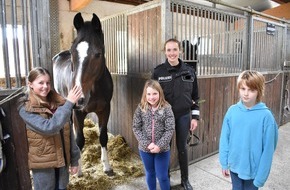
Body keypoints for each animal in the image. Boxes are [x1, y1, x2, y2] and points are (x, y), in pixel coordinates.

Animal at [52, 12, 114, 176]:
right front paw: (78, 170)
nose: (78, 99)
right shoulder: (78, 112)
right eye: (73, 52)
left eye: (98, 54)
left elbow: (103, 137)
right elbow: (79, 139)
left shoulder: (105, 109)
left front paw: (107, 167)